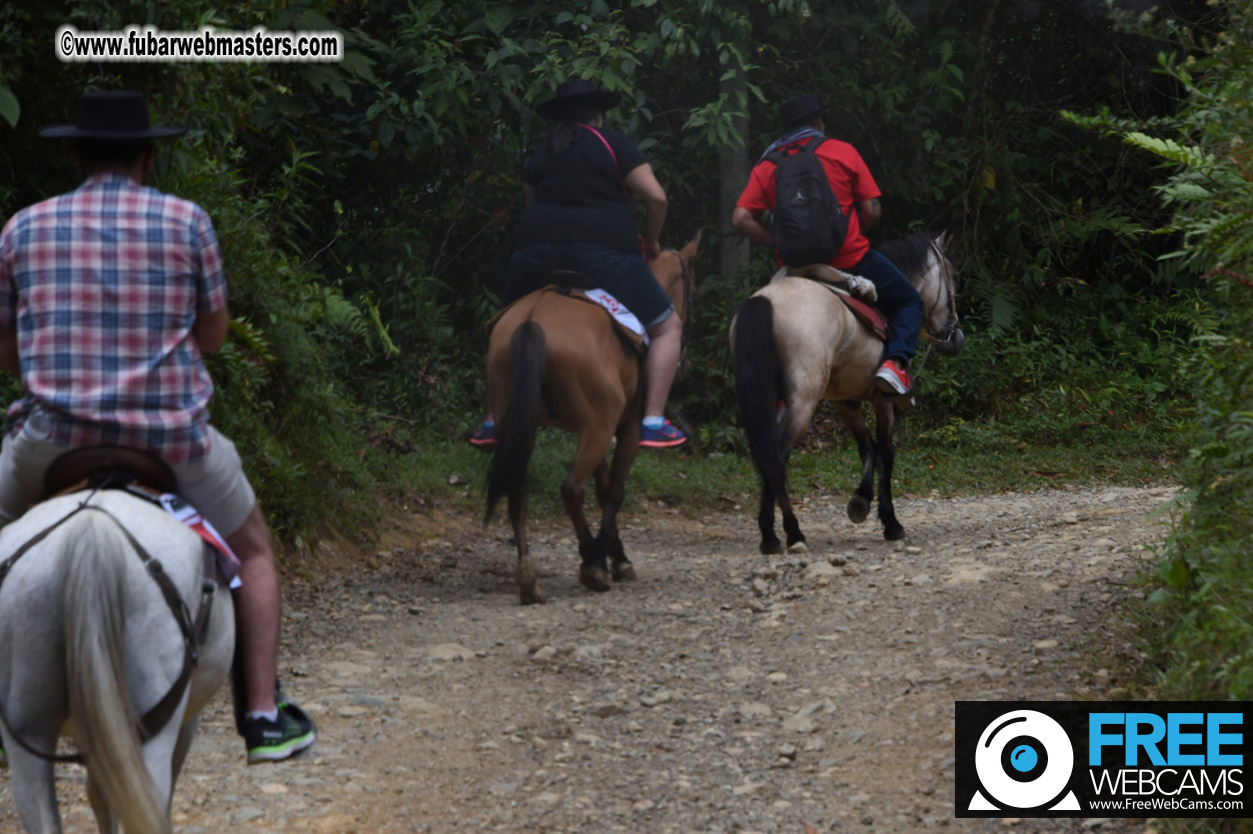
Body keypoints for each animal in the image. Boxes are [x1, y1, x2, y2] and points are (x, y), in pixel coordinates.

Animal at [481, 231, 701, 598]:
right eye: (692, 290)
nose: (684, 368)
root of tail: (532, 319)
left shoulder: (596, 427)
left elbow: (603, 486)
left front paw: (613, 553)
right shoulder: (623, 427)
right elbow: (614, 490)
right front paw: (616, 559)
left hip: (526, 422)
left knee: (518, 487)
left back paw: (528, 576)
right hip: (597, 428)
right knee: (572, 488)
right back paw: (591, 563)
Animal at [731, 230, 962, 548]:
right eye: (952, 275)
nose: (956, 337)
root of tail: (767, 300)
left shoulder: (846, 402)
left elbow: (866, 448)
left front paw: (861, 501)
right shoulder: (882, 400)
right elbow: (885, 452)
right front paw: (890, 522)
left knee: (768, 454)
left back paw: (771, 535)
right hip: (802, 402)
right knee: (777, 454)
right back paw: (791, 532)